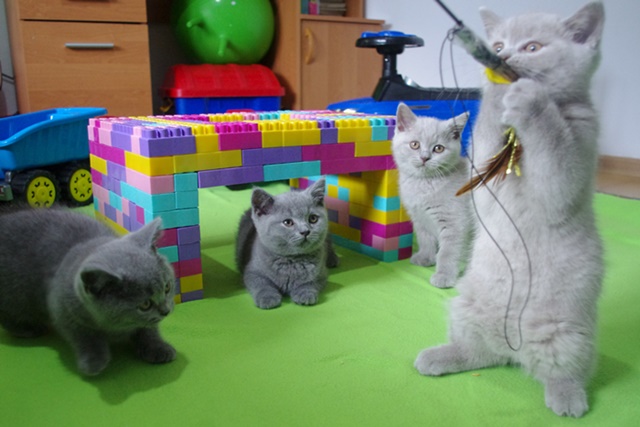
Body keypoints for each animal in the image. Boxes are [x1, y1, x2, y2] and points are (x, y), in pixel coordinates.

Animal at [0, 208, 177, 376]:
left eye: (167, 287)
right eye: (145, 304)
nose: (166, 311)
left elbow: (149, 329)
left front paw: (158, 348)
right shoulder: (62, 310)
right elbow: (85, 337)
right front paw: (94, 361)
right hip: (15, 298)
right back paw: (27, 329)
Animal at [235, 178, 339, 309]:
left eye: (313, 218)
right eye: (288, 222)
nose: (305, 231)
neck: (292, 260)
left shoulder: (321, 274)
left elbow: (310, 282)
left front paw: (305, 293)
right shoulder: (251, 271)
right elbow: (262, 284)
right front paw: (268, 298)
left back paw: (333, 259)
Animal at [392, 103, 473, 288]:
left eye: (438, 148)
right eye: (414, 144)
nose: (424, 157)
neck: (424, 184)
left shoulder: (455, 222)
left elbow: (448, 252)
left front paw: (444, 276)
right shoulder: (420, 218)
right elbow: (425, 239)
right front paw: (425, 257)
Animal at [413, 2, 605, 418]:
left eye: (532, 47)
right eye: (499, 44)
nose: (501, 57)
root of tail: (512, 349)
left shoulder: (573, 160)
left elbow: (554, 151)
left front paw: (530, 99)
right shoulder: (485, 172)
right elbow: (485, 132)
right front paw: (496, 91)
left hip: (567, 334)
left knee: (564, 371)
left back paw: (568, 400)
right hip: (465, 307)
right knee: (478, 353)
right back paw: (439, 357)